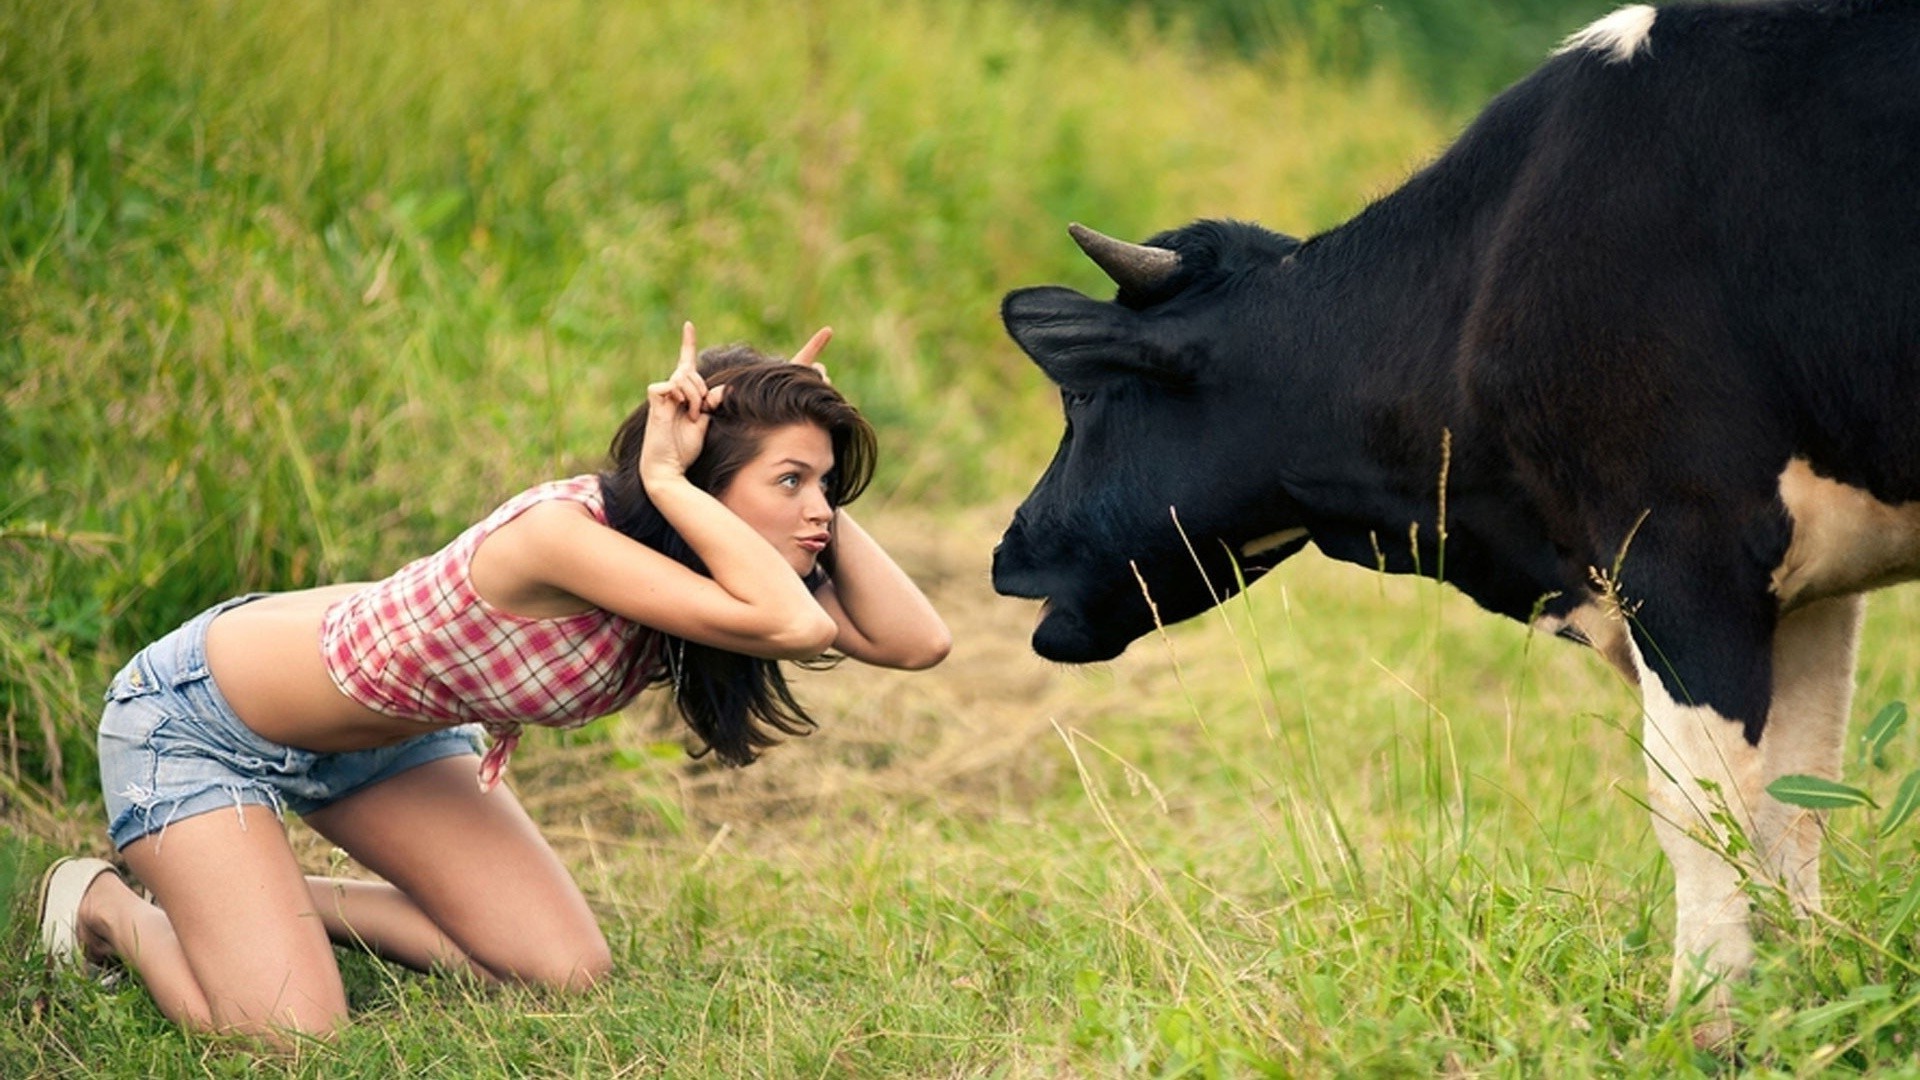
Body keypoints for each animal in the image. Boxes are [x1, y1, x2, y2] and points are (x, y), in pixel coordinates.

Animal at [990, 0, 1920, 1022]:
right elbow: (1796, 801)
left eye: (1082, 397)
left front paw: (1706, 1020)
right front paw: (1799, 999)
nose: (1008, 549)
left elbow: (1697, 808)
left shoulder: (1685, 547)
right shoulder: (1810, 585)